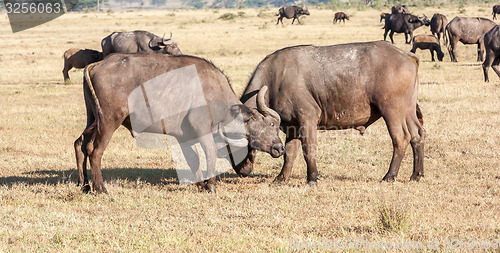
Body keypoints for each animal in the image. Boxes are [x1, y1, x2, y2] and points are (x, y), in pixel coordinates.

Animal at [75, 53, 286, 194]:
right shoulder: (202, 130)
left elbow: (193, 159)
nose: (280, 148)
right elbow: (209, 152)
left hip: (93, 119)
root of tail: (99, 63)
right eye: (270, 127)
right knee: (95, 150)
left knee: (81, 144)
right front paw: (211, 185)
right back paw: (100, 188)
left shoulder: (183, 137)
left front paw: (200, 184)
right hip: (109, 121)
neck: (214, 93)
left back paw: (84, 185)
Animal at [239, 41, 426, 186]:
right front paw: (281, 178)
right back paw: (416, 175)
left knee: (401, 138)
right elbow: (290, 154)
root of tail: (407, 55)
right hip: (408, 110)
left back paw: (389, 176)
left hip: (392, 110)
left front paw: (312, 178)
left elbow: (309, 150)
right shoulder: (292, 127)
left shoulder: (308, 119)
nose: (243, 171)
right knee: (418, 134)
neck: (276, 80)